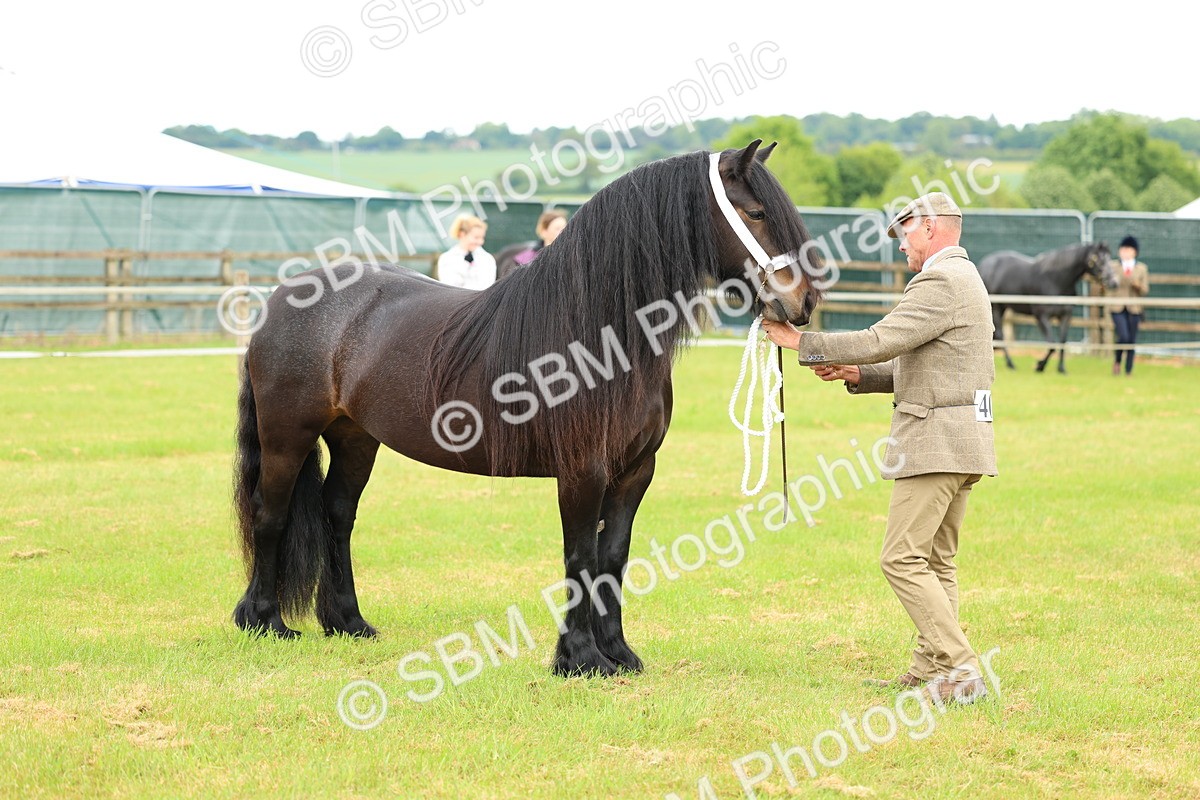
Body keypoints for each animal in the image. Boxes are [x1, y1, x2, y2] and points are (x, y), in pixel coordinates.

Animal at [231, 140, 822, 677]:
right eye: (756, 213)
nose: (805, 302)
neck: (601, 337)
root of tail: (282, 299)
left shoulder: (636, 471)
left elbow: (613, 557)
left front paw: (619, 654)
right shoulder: (582, 470)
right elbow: (579, 556)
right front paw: (579, 659)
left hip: (355, 438)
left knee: (337, 513)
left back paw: (348, 622)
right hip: (287, 437)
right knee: (270, 513)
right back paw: (264, 622)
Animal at [976, 242, 1118, 373]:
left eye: (1108, 257)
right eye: (1097, 259)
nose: (1113, 282)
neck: (1055, 280)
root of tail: (984, 265)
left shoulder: (1065, 316)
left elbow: (1062, 342)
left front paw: (1061, 368)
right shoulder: (1041, 316)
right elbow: (1052, 344)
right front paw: (1040, 366)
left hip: (1002, 307)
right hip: (995, 308)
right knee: (1000, 334)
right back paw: (1011, 364)